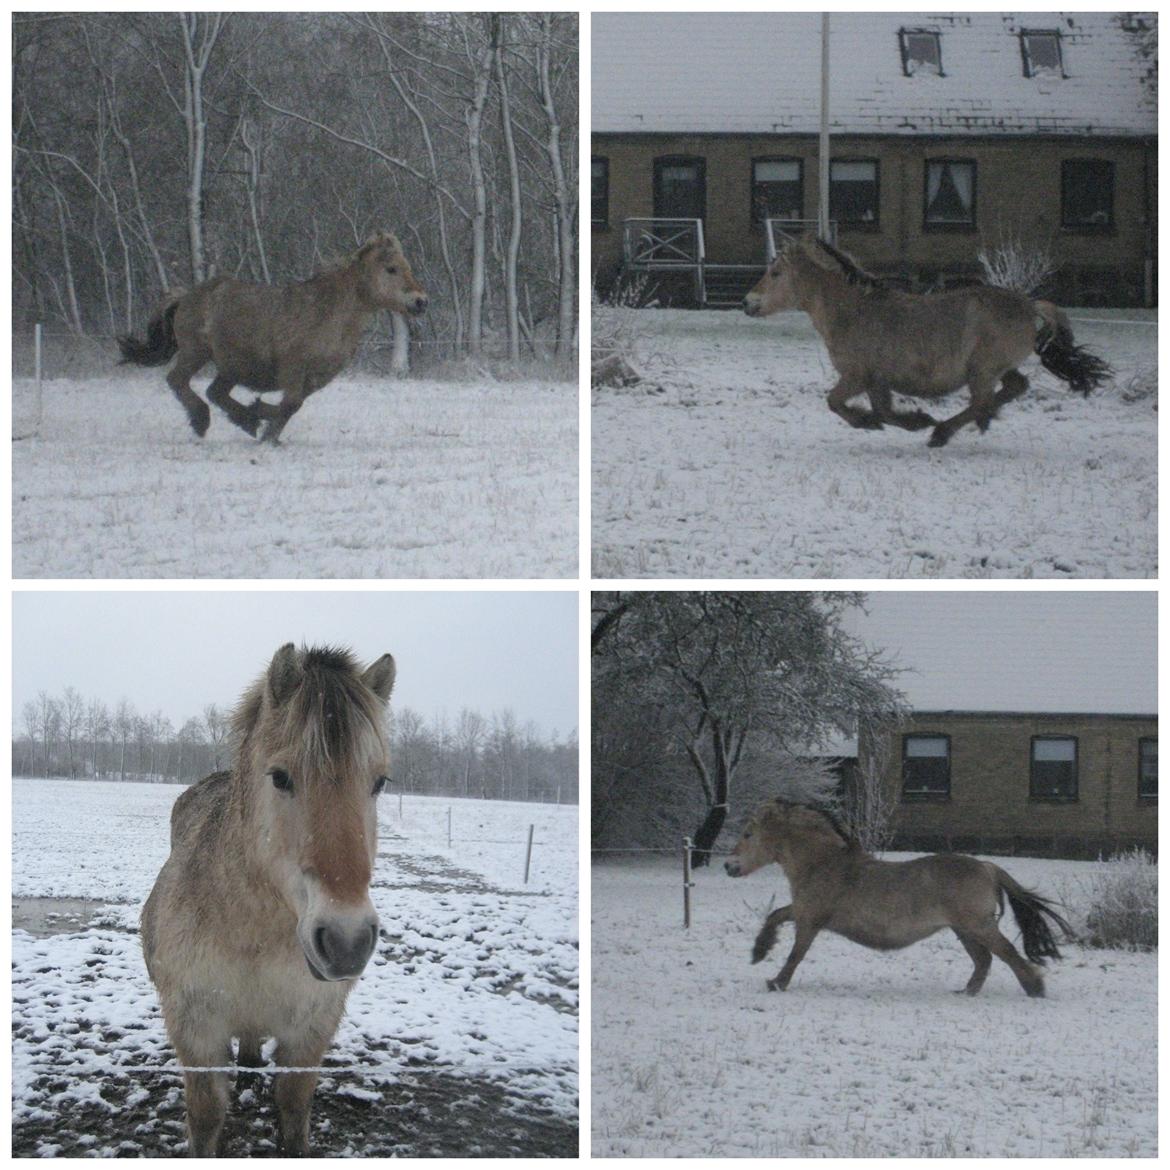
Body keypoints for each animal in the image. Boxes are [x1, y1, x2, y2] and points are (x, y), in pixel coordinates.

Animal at [116, 230, 428, 439]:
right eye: (391, 269)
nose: (421, 302)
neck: (326, 311)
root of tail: (187, 296)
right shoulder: (293, 367)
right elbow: (290, 404)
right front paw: (262, 420)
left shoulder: (319, 376)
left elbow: (293, 406)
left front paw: (265, 426)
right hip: (196, 352)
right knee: (178, 380)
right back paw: (202, 420)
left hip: (232, 366)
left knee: (215, 392)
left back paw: (243, 420)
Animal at [139, 645, 397, 1155]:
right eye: (280, 777)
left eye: (379, 782)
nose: (346, 940)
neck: (253, 931)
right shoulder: (196, 1031)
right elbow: (206, 1116)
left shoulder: (310, 1030)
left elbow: (294, 1108)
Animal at [725, 800, 1071, 1001]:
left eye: (748, 834)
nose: (729, 866)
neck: (823, 863)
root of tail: (988, 867)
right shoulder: (803, 912)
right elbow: (774, 916)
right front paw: (759, 952)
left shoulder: (810, 920)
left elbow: (795, 954)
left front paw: (776, 982)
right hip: (964, 930)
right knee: (983, 960)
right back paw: (965, 992)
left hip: (978, 926)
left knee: (1007, 953)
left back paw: (1035, 989)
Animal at [744, 233, 1109, 446]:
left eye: (775, 273)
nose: (747, 302)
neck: (854, 311)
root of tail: (1029, 305)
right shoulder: (876, 380)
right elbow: (882, 410)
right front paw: (895, 421)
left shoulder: (857, 376)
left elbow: (835, 402)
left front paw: (897, 421)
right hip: (996, 369)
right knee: (1014, 387)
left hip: (982, 370)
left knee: (982, 401)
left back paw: (943, 431)